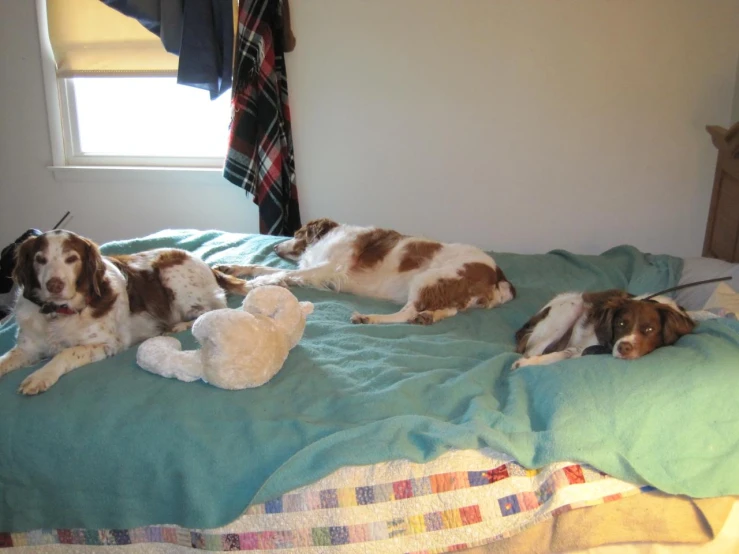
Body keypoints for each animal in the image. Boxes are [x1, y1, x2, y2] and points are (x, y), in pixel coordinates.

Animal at [0, 229, 251, 392]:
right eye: (39, 259)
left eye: (71, 258)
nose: (54, 285)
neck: (57, 314)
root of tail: (205, 263)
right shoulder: (28, 347)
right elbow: (6, 359)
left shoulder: (109, 344)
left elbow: (66, 352)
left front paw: (41, 376)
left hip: (170, 273)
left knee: (209, 310)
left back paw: (177, 326)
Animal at [214, 218, 516, 324]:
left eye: (298, 233)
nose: (276, 246)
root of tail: (499, 274)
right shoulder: (313, 267)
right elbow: (260, 267)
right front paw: (231, 266)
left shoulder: (326, 269)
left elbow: (278, 275)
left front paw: (246, 283)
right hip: (443, 290)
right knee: (445, 311)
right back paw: (429, 316)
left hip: (428, 279)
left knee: (406, 314)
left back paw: (369, 318)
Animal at [512, 288, 696, 366]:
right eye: (620, 323)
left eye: (649, 330)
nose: (623, 348)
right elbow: (563, 354)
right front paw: (525, 364)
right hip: (572, 306)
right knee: (532, 351)